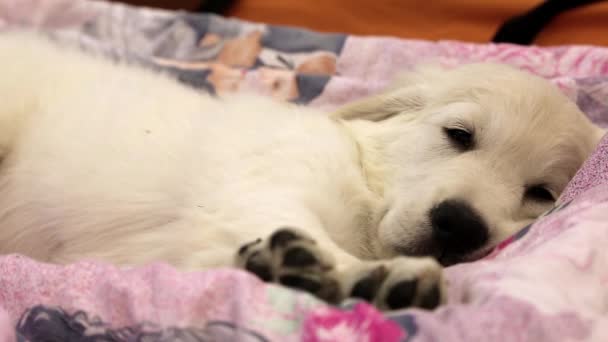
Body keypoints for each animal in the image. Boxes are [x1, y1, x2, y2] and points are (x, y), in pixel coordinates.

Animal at [0, 31, 600, 310]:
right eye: (459, 135)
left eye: (540, 193)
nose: (460, 225)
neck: (363, 183)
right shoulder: (261, 189)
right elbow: (299, 228)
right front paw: (361, 275)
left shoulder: (199, 252)